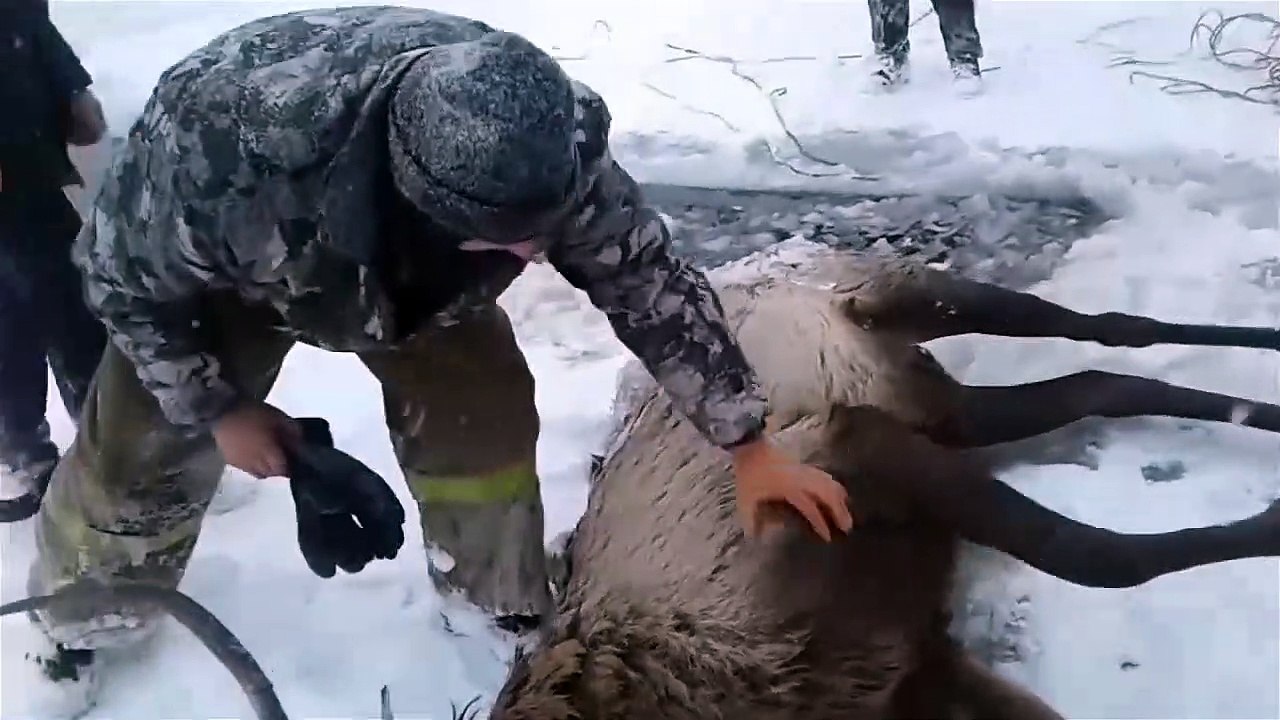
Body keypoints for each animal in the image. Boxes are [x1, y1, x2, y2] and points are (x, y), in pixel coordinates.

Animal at [5, 242, 1280, 720]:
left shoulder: (850, 466)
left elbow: (1104, 558)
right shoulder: (908, 653)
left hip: (893, 310)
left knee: (1104, 328)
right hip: (936, 397)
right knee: (1097, 379)